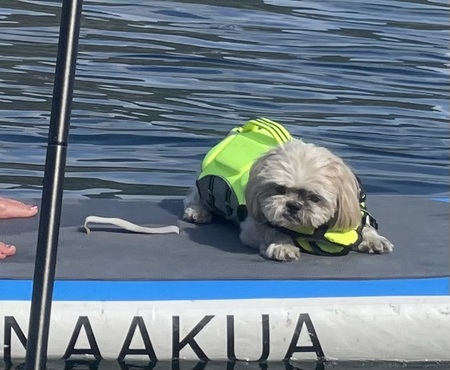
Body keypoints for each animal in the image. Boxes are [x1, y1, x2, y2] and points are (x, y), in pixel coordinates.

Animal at [183, 120, 394, 262]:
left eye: (314, 198)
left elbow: (365, 227)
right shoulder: (252, 227)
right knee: (194, 197)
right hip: (203, 183)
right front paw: (282, 246)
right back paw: (198, 212)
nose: (293, 205)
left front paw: (375, 239)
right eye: (279, 189)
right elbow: (271, 231)